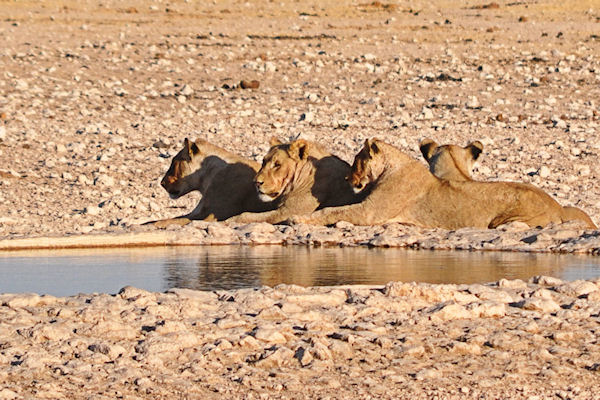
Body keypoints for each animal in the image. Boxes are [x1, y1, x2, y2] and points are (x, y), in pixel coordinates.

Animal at [145, 138, 276, 227]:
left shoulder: (212, 216)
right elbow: (159, 220)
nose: (162, 183)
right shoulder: (196, 213)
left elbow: (169, 221)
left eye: (173, 163)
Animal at [224, 138, 366, 225]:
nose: (256, 182)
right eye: (263, 162)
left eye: (277, 164)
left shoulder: (289, 212)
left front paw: (226, 221)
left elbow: (247, 215)